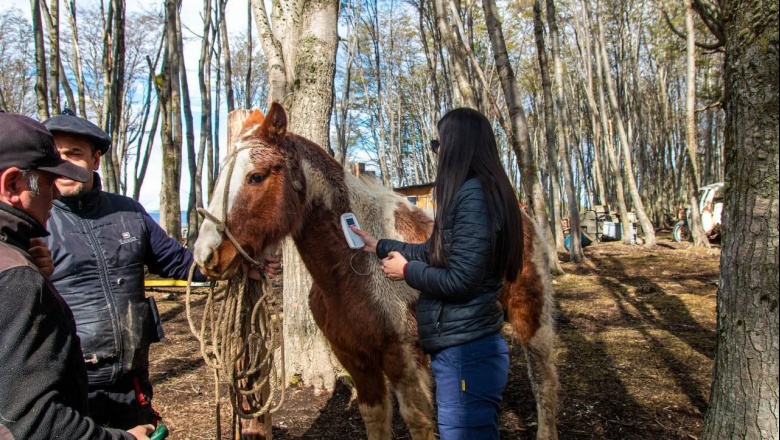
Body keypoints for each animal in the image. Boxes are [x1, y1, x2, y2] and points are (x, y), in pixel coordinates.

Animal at [195, 103, 560, 440]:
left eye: (256, 176)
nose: (205, 255)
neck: (348, 269)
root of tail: (524, 217)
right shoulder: (355, 360)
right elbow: (375, 417)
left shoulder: (401, 358)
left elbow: (418, 420)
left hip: (532, 318)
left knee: (543, 380)